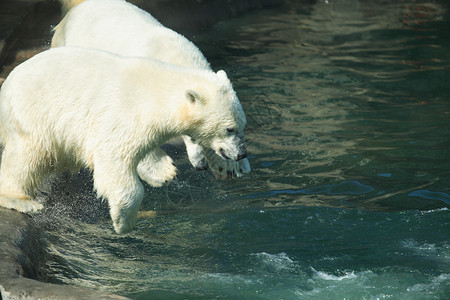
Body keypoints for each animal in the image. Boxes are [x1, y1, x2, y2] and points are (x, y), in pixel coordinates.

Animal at [0, 47, 246, 234]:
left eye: (243, 125)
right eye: (229, 129)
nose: (241, 154)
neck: (156, 93)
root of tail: (7, 85)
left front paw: (163, 172)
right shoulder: (123, 114)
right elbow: (114, 158)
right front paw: (123, 221)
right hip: (34, 117)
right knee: (27, 158)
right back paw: (21, 200)